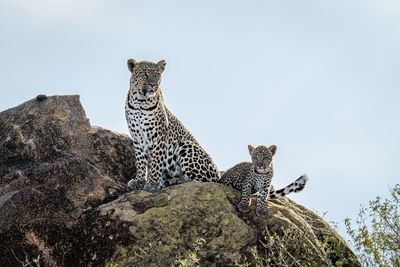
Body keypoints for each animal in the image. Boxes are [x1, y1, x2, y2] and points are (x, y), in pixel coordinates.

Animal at [124, 59, 219, 192]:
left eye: (157, 74)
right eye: (144, 73)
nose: (153, 84)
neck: (140, 101)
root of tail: (218, 174)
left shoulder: (159, 135)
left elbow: (156, 161)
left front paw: (152, 183)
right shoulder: (137, 137)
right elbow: (140, 161)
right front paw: (139, 181)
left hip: (185, 145)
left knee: (205, 182)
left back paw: (177, 181)